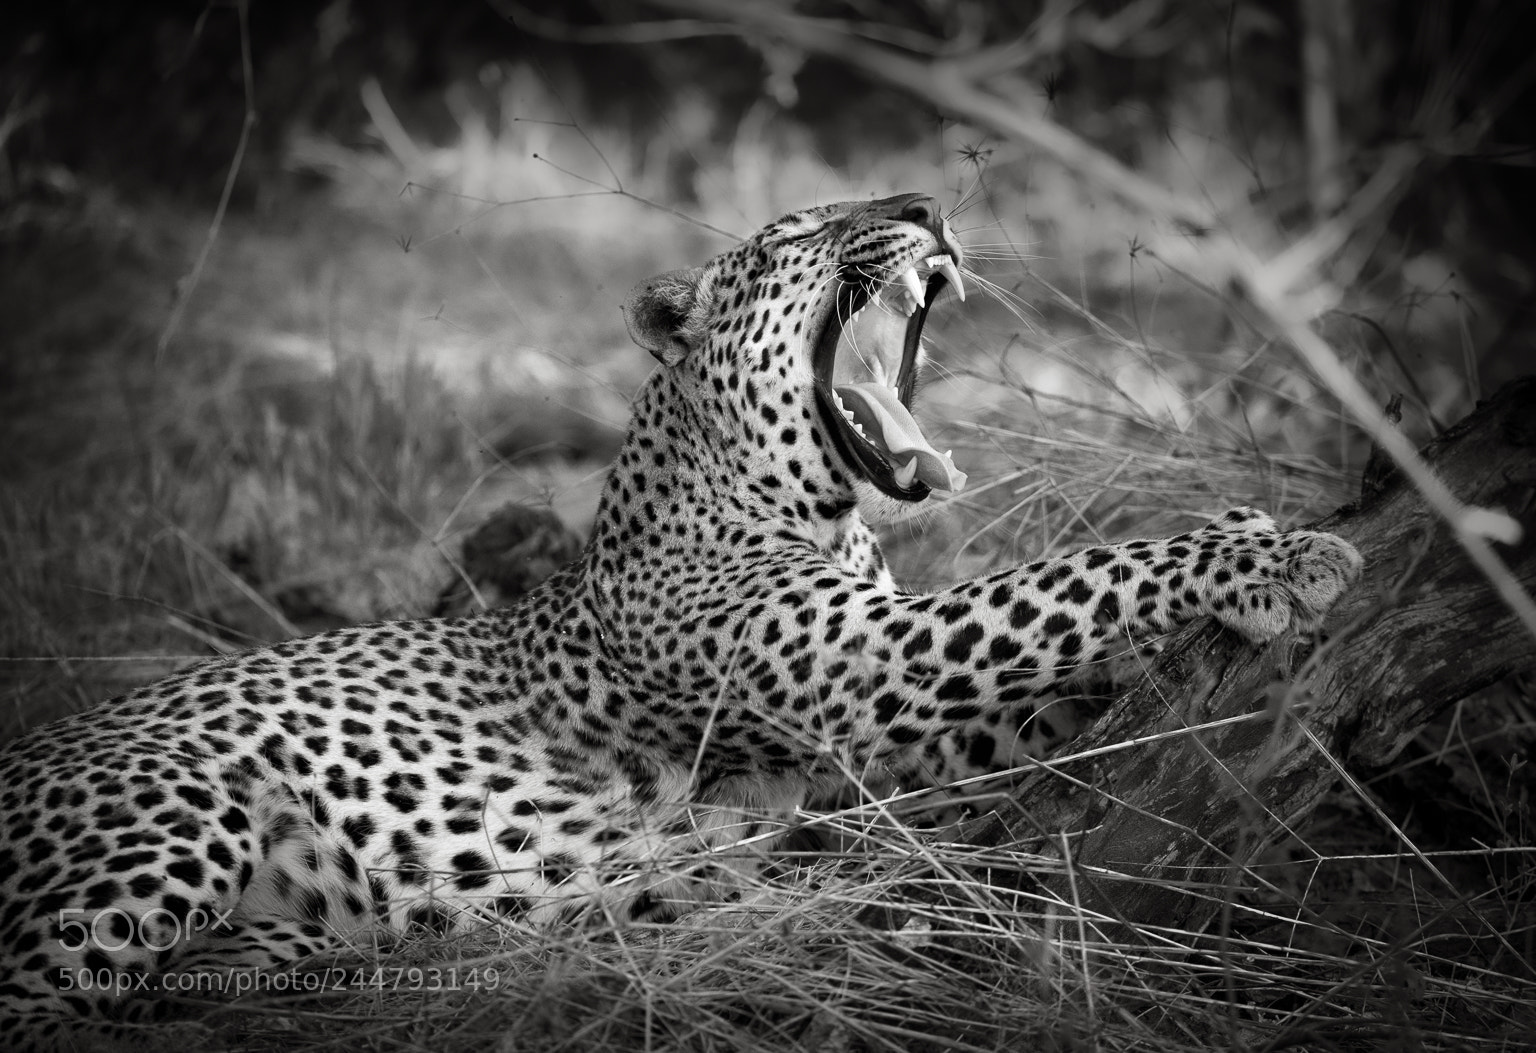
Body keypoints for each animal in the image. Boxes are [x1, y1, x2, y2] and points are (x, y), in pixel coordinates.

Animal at [0, 193, 1362, 1048]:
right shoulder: (870, 664)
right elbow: (1059, 583)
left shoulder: (883, 755)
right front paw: (1273, 549)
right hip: (174, 806)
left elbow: (1043, 685)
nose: (930, 205)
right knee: (38, 1002)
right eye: (803, 230)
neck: (816, 508)